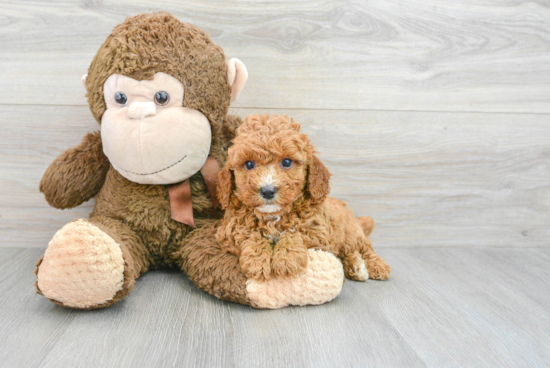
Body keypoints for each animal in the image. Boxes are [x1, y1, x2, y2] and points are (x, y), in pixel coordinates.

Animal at [216, 115, 392, 282]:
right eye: (249, 164)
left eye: (287, 162)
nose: (267, 191)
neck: (273, 216)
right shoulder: (228, 231)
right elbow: (249, 233)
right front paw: (257, 259)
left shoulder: (320, 232)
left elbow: (295, 232)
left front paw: (287, 258)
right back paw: (356, 266)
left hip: (351, 234)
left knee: (364, 247)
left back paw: (376, 266)